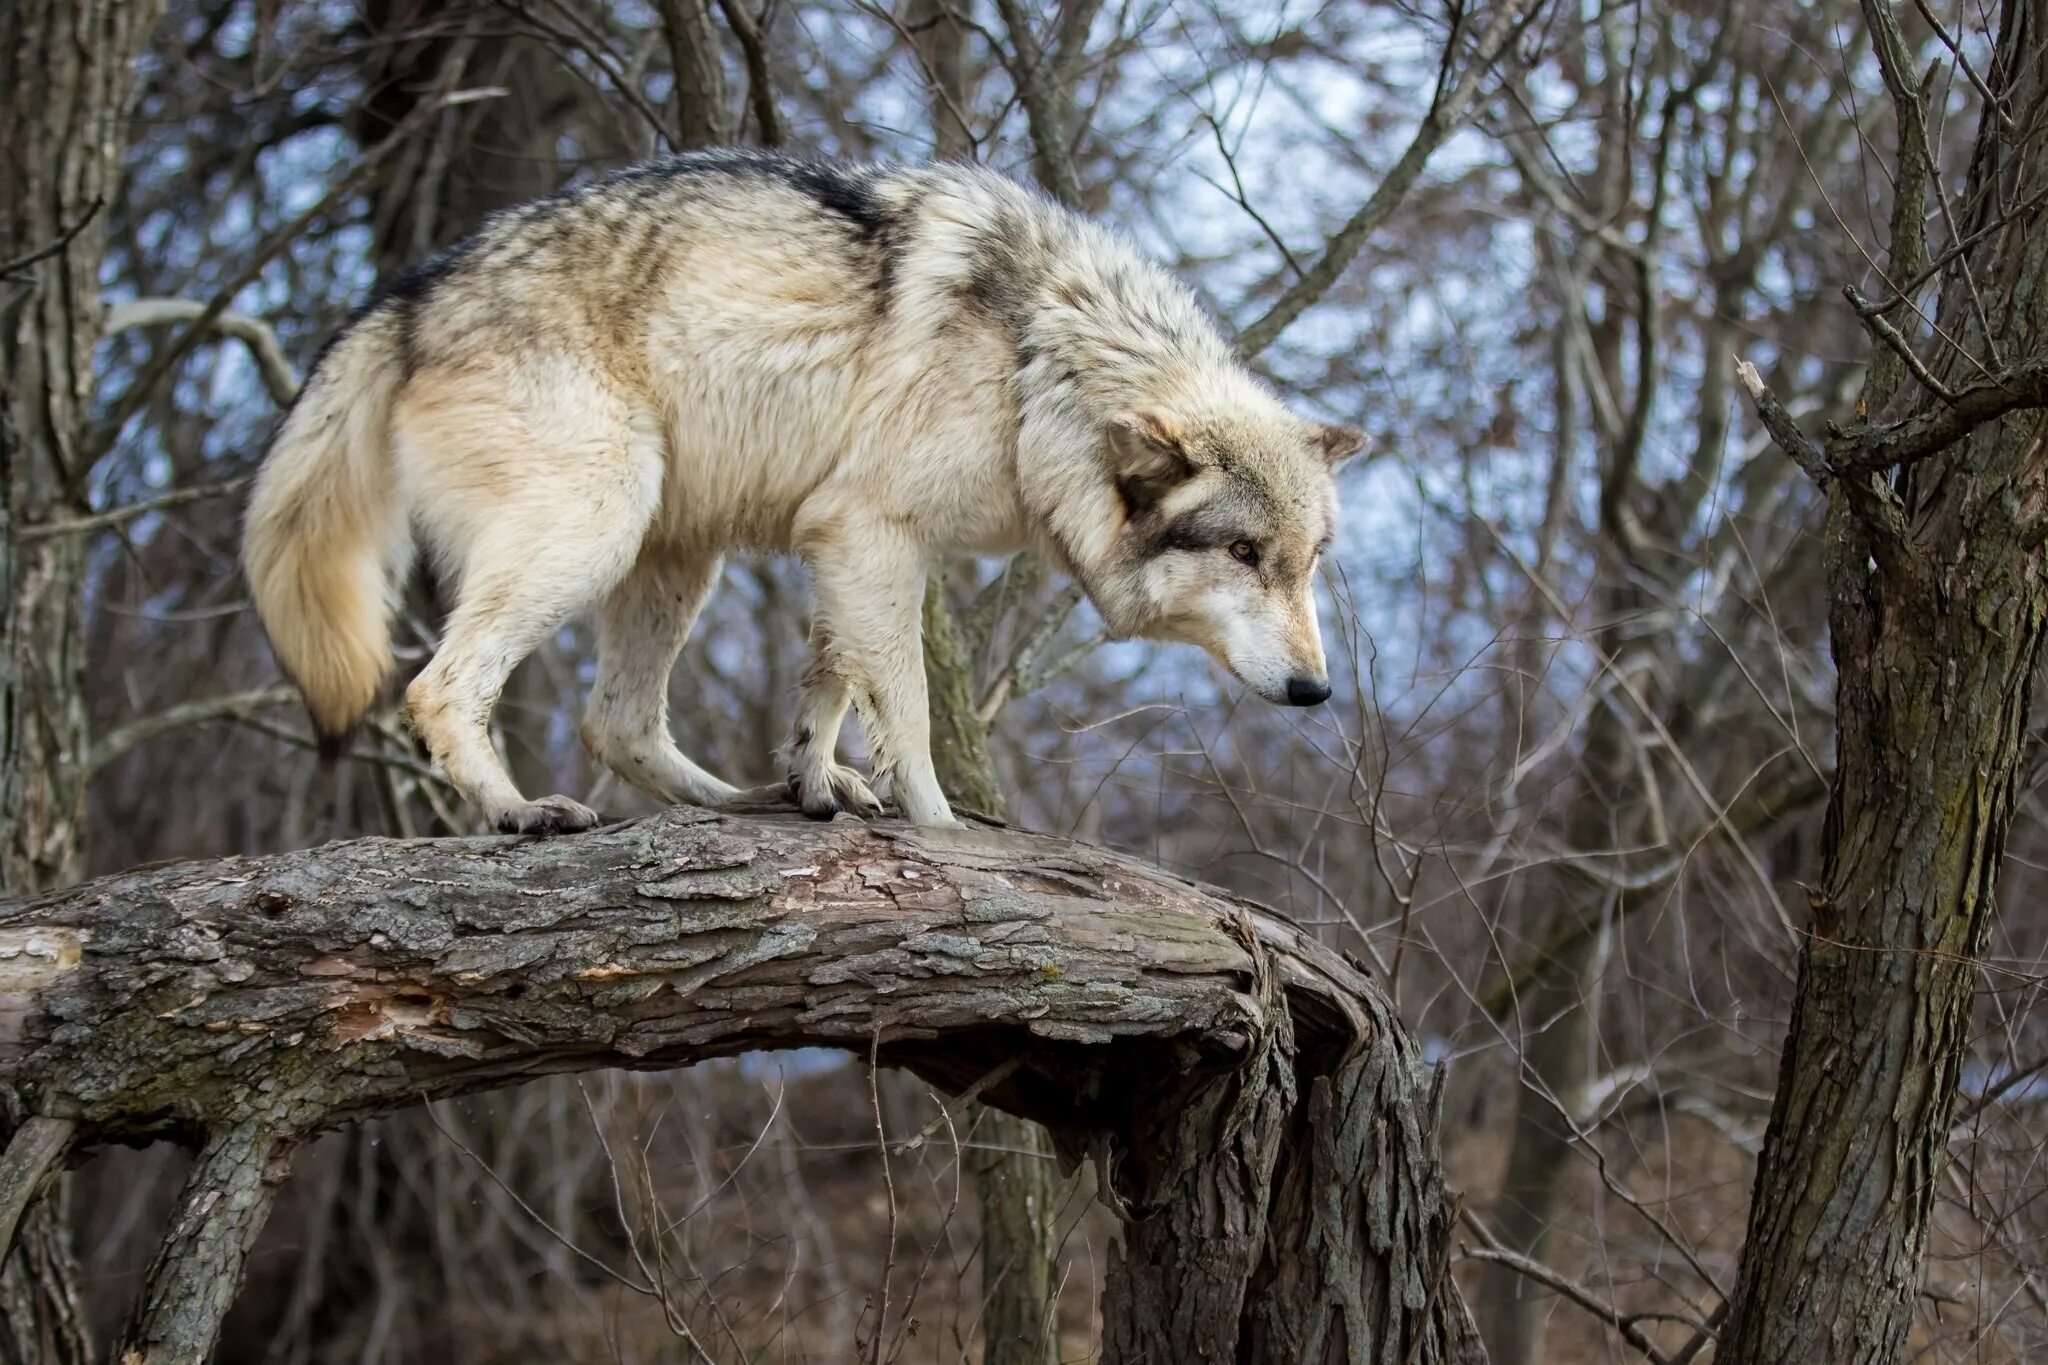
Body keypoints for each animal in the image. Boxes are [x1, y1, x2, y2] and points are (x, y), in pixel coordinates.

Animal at [239, 149, 1359, 834]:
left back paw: (736, 800)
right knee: (439, 687)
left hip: (673, 556)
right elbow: (904, 708)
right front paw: (942, 830)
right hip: (595, 528)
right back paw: (520, 813)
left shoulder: (841, 542)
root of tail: (409, 292)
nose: (1317, 691)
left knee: (617, 723)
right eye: (1243, 554)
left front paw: (815, 781)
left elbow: (826, 683)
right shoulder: (874, 535)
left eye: (1305, 564)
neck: (1040, 360)